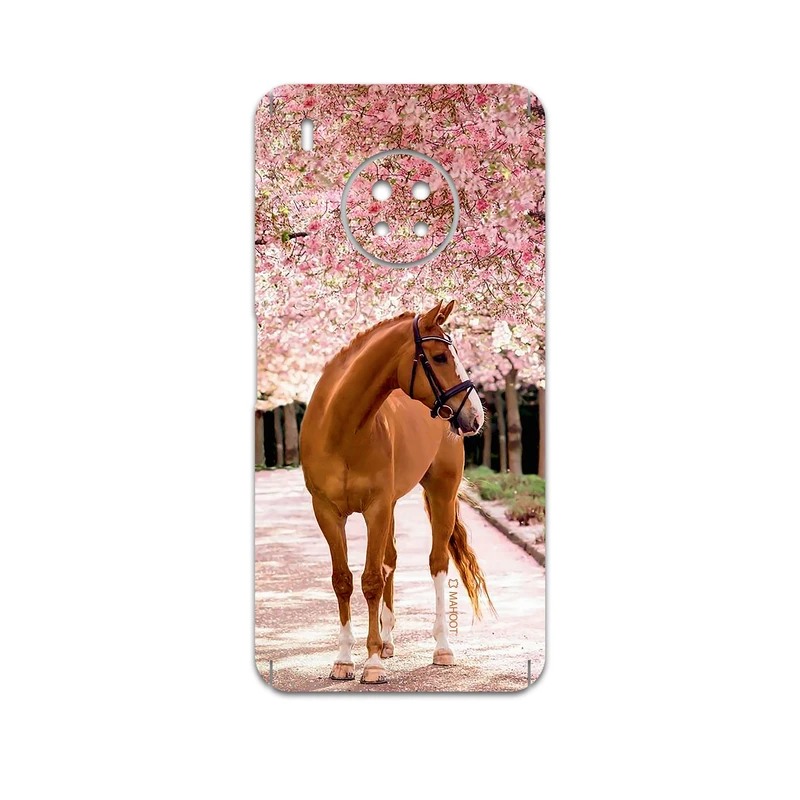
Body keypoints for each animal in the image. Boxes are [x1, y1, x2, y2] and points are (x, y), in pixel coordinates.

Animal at [299, 300, 493, 684]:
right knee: (390, 560)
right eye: (439, 357)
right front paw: (344, 660)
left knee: (436, 563)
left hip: (440, 493)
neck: (341, 429)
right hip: (390, 506)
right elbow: (343, 580)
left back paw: (441, 648)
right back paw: (387, 641)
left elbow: (372, 580)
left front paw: (372, 664)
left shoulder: (375, 508)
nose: (476, 416)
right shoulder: (327, 512)